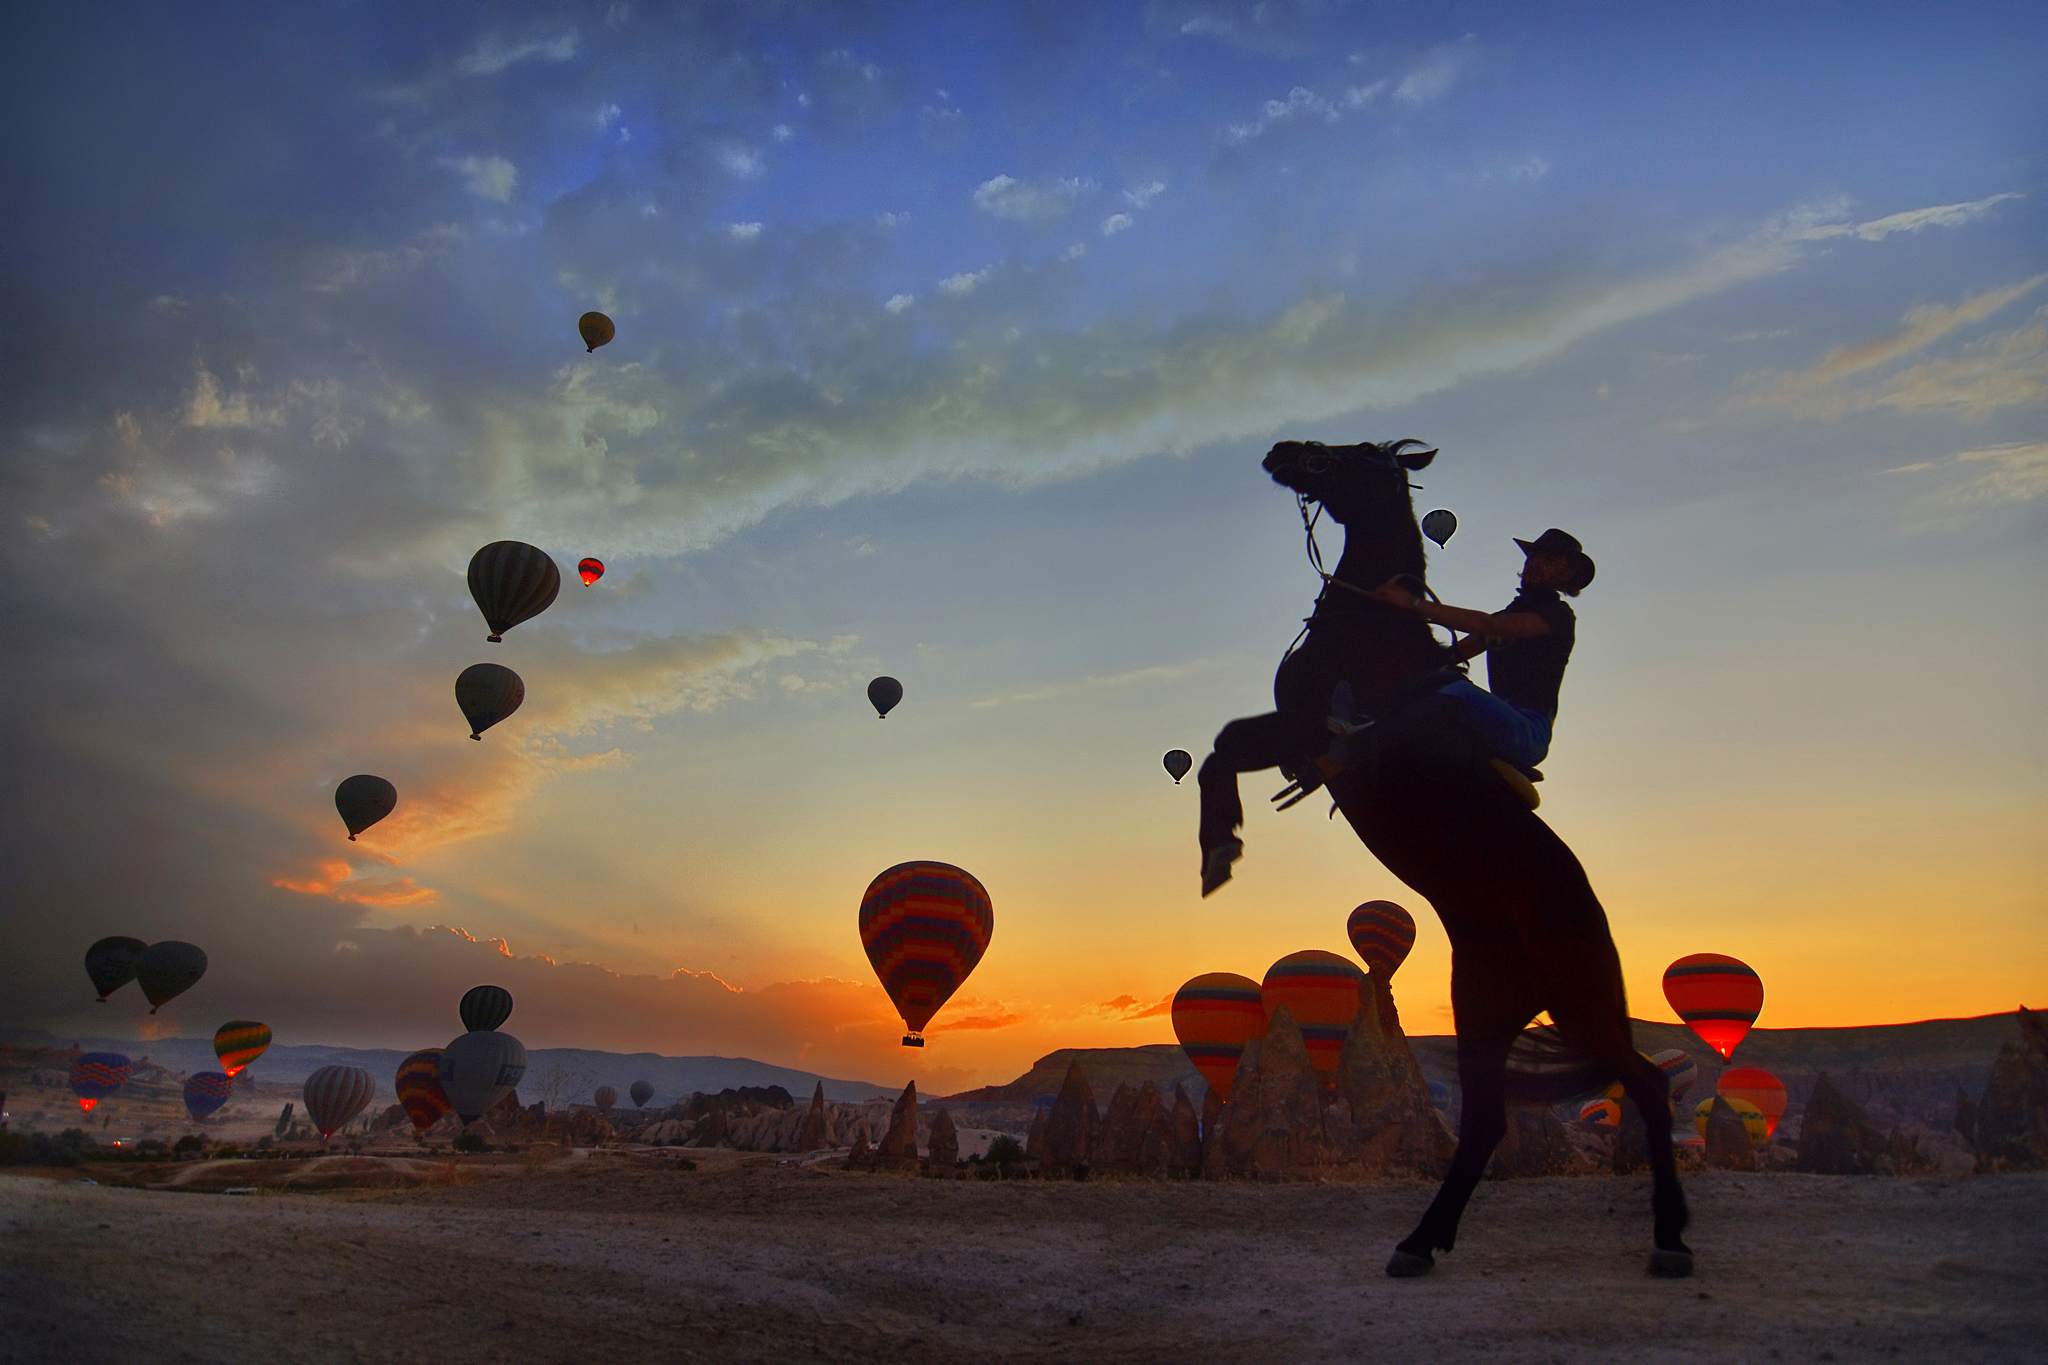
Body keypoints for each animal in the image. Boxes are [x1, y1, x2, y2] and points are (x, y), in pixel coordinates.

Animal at [1196, 437, 1687, 1285]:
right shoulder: (1290, 731)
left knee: (1648, 1085)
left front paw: (1220, 846)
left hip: (1582, 1003)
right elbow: (1222, 746)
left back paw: (1671, 1239)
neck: (1373, 629)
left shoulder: (1305, 726)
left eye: (1358, 454)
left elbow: (1230, 745)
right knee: (1487, 1120)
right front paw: (1218, 848)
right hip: (1484, 1010)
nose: (1286, 451)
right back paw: (1419, 1241)